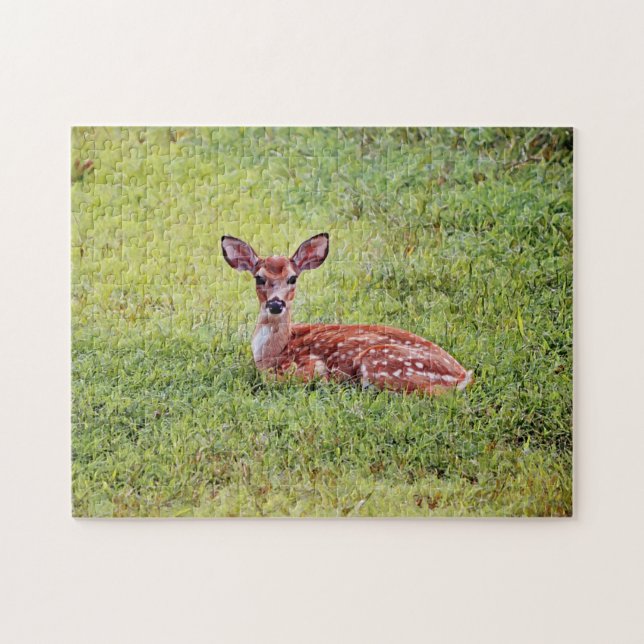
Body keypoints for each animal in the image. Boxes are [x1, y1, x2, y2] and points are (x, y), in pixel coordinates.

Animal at [221, 233, 473, 395]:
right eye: (259, 278)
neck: (273, 352)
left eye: (292, 278)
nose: (275, 304)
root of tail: (463, 377)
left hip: (379, 361)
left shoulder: (310, 366)